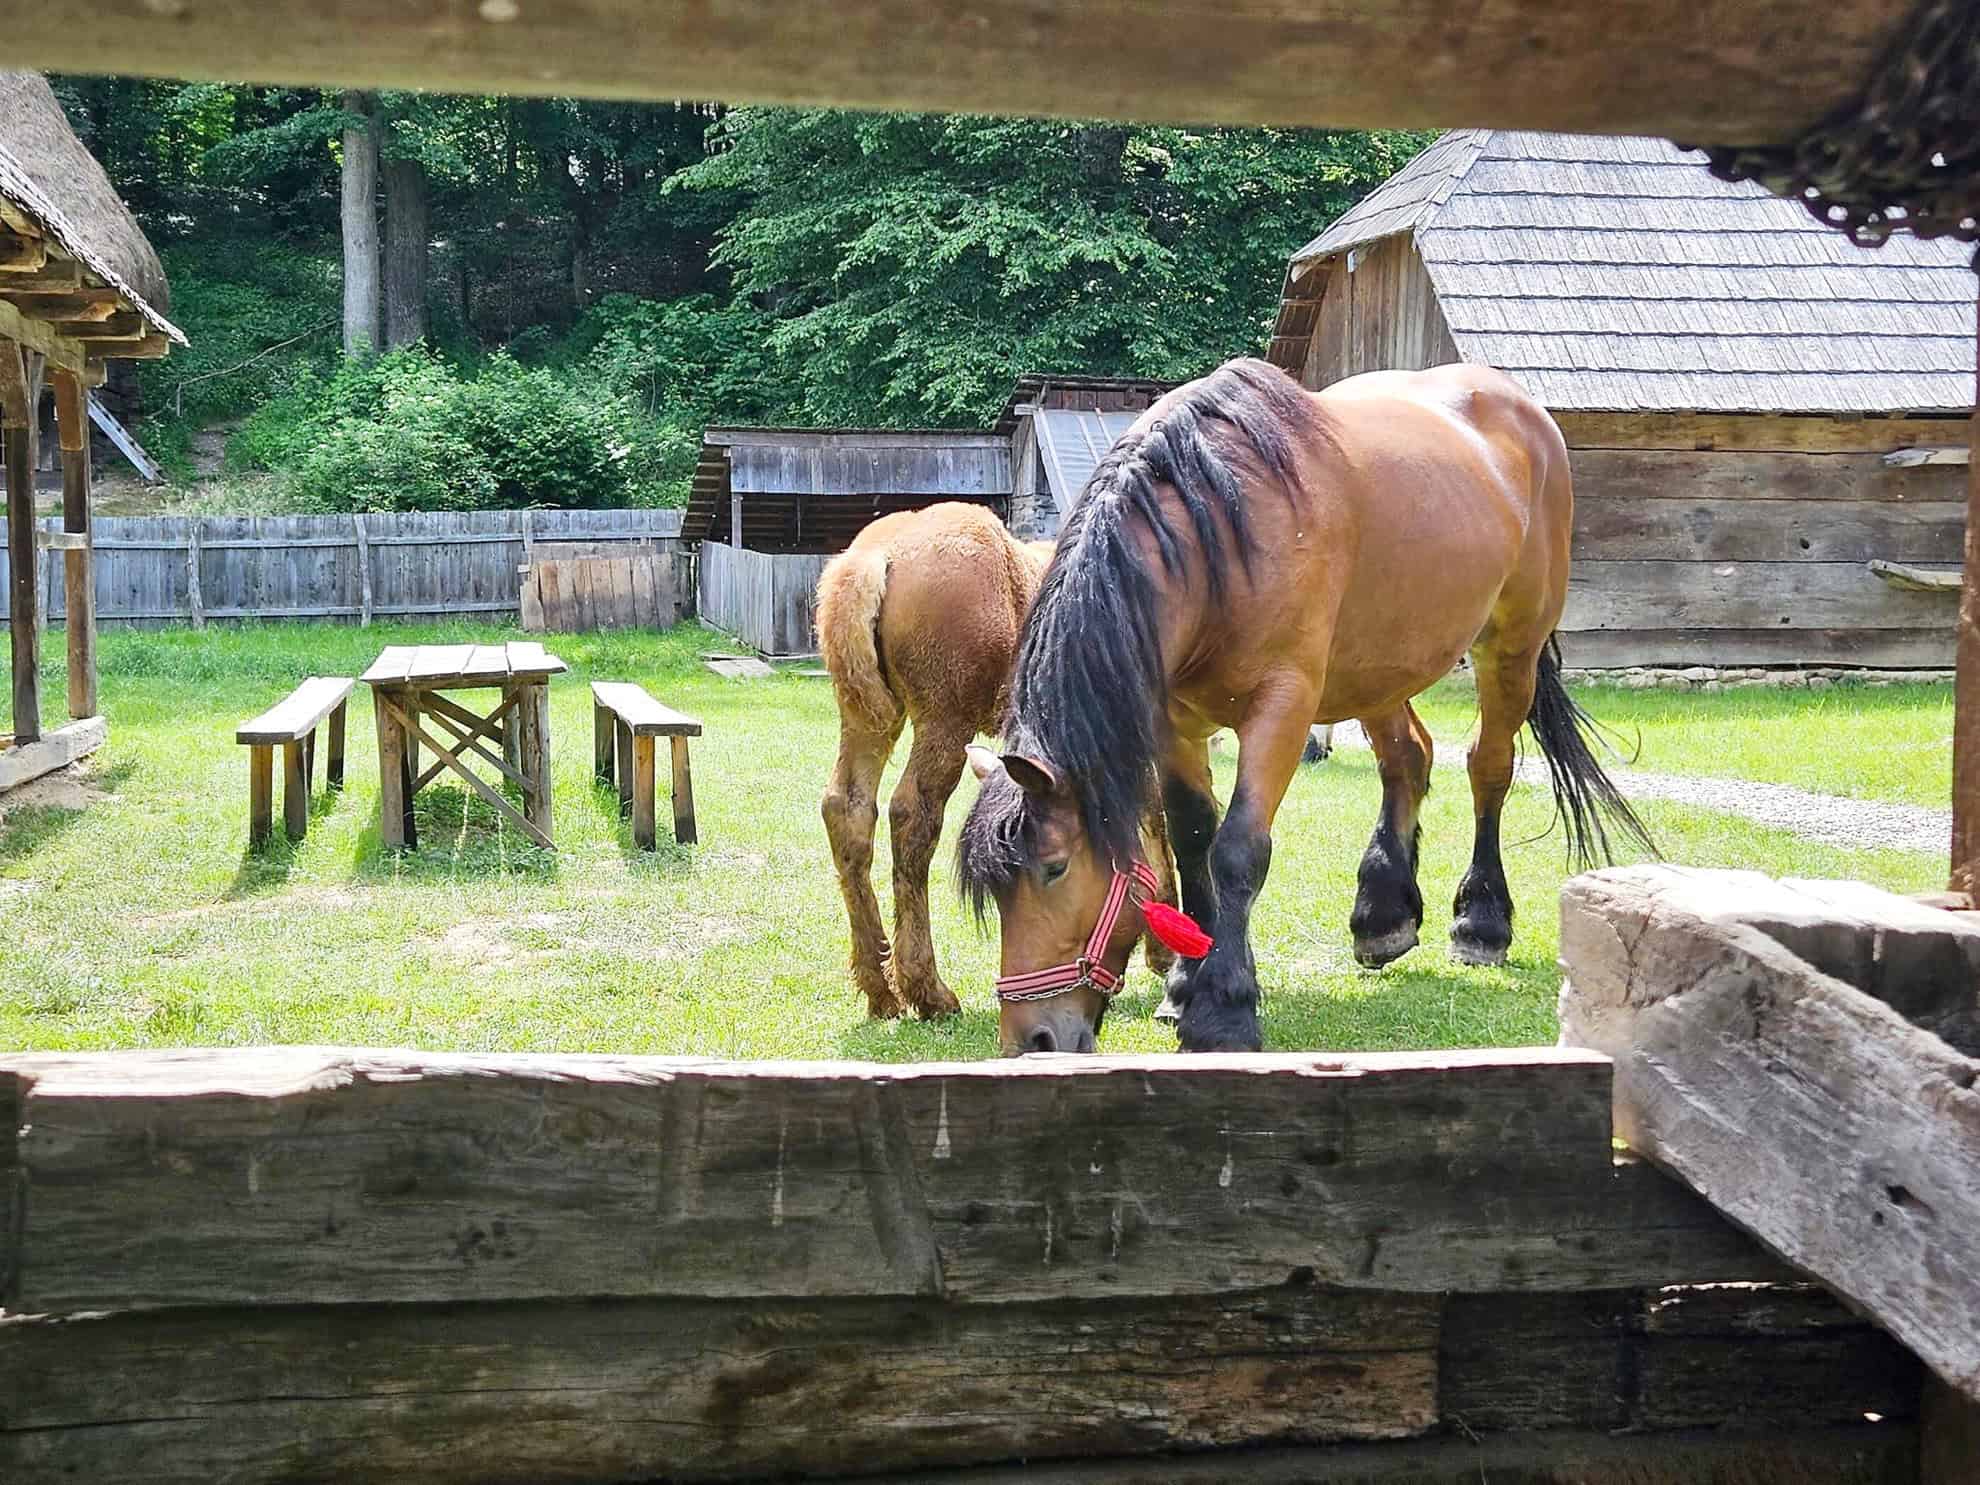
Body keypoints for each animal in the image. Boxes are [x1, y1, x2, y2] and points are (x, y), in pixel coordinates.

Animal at [819, 500, 1172, 1021]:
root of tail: (870, 561)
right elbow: (1153, 820)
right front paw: (1163, 947)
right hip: (945, 717)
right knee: (912, 816)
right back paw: (927, 988)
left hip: (866, 714)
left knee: (848, 809)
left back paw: (880, 986)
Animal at [962, 358, 1655, 1061]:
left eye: (1054, 868)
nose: (1033, 1039)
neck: (1220, 532)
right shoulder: (1175, 721)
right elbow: (1192, 840)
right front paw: (1184, 987)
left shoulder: (1283, 708)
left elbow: (1238, 849)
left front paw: (1224, 1010)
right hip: (1378, 665)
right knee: (1408, 759)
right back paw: (1383, 915)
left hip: (1510, 649)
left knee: (1488, 767)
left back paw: (1481, 922)